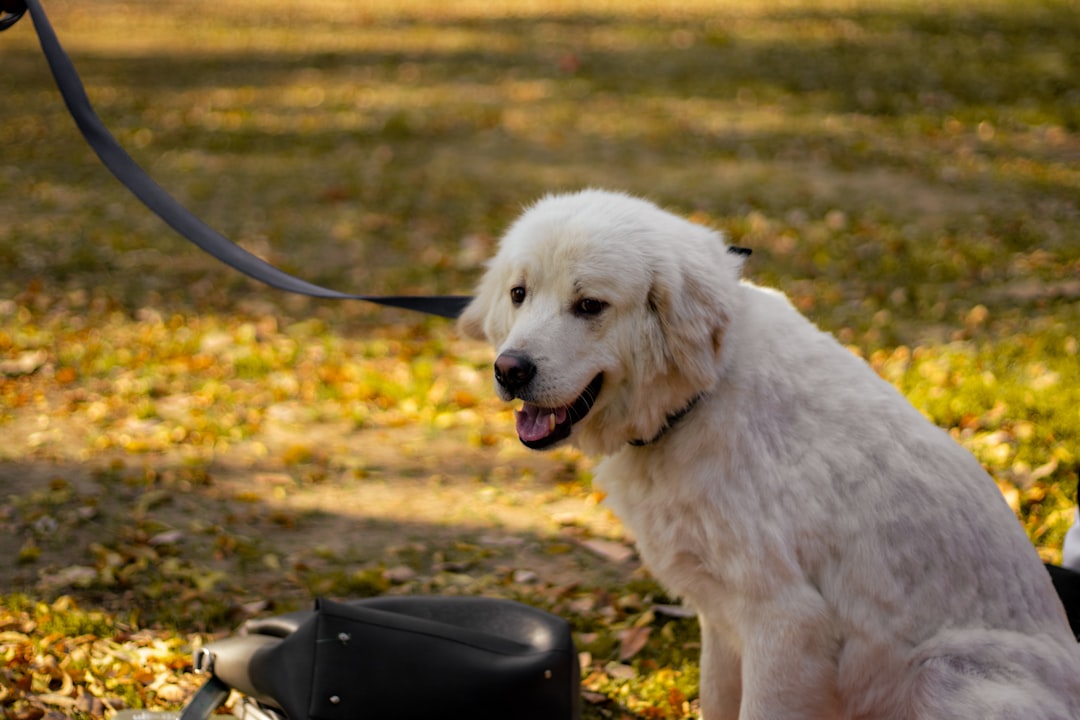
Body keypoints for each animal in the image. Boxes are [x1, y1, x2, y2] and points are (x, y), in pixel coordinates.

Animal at [460, 189, 1080, 720]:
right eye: (519, 294)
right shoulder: (721, 619)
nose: (509, 370)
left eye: (590, 305)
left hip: (941, 676)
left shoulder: (785, 625)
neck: (701, 396)